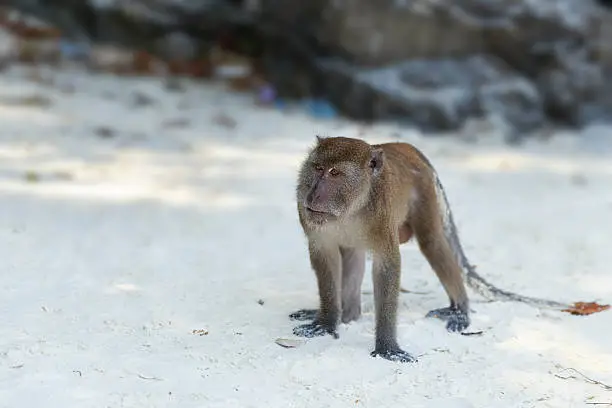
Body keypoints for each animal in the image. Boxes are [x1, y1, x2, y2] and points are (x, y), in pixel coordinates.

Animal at [290, 136, 572, 364]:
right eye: (317, 169)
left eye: (335, 173)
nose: (313, 195)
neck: (351, 208)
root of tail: (406, 147)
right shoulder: (307, 214)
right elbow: (325, 256)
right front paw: (326, 322)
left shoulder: (381, 216)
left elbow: (387, 265)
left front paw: (386, 347)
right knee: (354, 254)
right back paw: (346, 313)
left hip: (424, 191)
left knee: (432, 242)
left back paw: (460, 309)